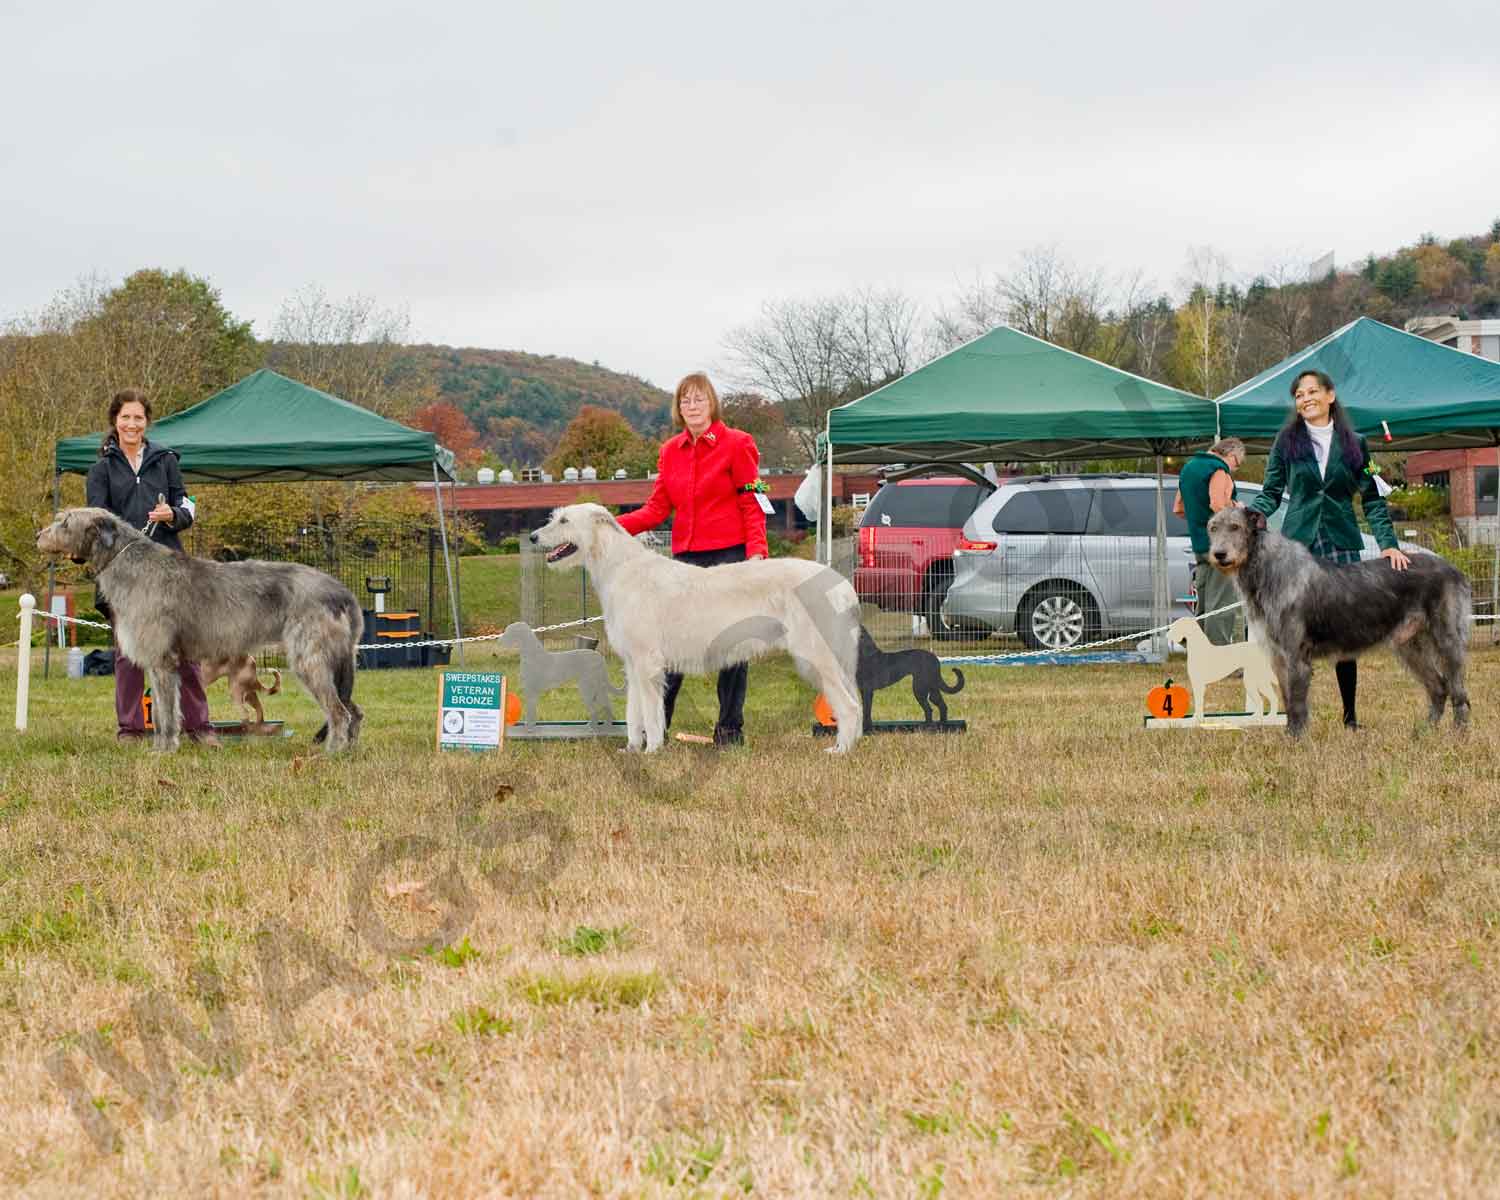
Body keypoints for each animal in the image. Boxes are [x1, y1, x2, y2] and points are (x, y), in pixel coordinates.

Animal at [37, 507, 366, 750]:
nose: (37, 535)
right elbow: (161, 710)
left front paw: (163, 751)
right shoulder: (161, 663)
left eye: (65, 521)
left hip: (310, 657)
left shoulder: (162, 660)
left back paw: (331, 753)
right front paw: (162, 748)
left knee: (340, 712)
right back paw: (349, 751)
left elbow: (166, 712)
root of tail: (342, 591)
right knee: (354, 710)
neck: (128, 562)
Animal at [531, 504, 864, 750]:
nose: (533, 537)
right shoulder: (633, 663)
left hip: (817, 655)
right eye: (554, 517)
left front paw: (653, 751)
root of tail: (843, 585)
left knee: (849, 706)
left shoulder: (648, 662)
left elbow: (651, 712)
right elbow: (633, 711)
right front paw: (632, 749)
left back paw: (840, 751)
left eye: (564, 520)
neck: (621, 568)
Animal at [1206, 501, 1464, 735]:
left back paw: (1459, 732)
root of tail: (1453, 568)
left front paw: (1297, 740)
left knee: (1458, 690)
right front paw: (1288, 736)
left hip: (1447, 640)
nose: (1219, 555)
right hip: (1409, 645)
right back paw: (1425, 730)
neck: (1267, 569)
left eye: (1235, 527)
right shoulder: (1278, 657)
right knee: (1439, 687)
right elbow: (1288, 701)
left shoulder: (1296, 656)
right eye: (1213, 528)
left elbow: (1297, 704)